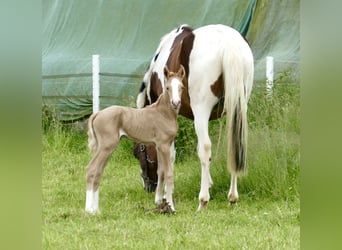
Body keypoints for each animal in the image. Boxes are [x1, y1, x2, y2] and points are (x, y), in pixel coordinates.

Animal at [85, 64, 186, 213]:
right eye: (167, 87)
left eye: (181, 87)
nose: (176, 102)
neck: (163, 113)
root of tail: (97, 114)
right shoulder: (164, 145)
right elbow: (168, 173)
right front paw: (171, 207)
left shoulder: (159, 146)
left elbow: (161, 171)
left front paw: (160, 203)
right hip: (107, 146)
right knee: (91, 169)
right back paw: (89, 210)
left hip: (106, 148)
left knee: (98, 171)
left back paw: (96, 209)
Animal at [136, 23, 254, 211]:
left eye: (138, 153)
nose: (148, 186)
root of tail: (228, 41)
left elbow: (169, 156)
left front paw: (163, 197)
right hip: (238, 107)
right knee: (235, 146)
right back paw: (232, 197)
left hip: (202, 110)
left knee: (205, 149)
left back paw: (203, 200)